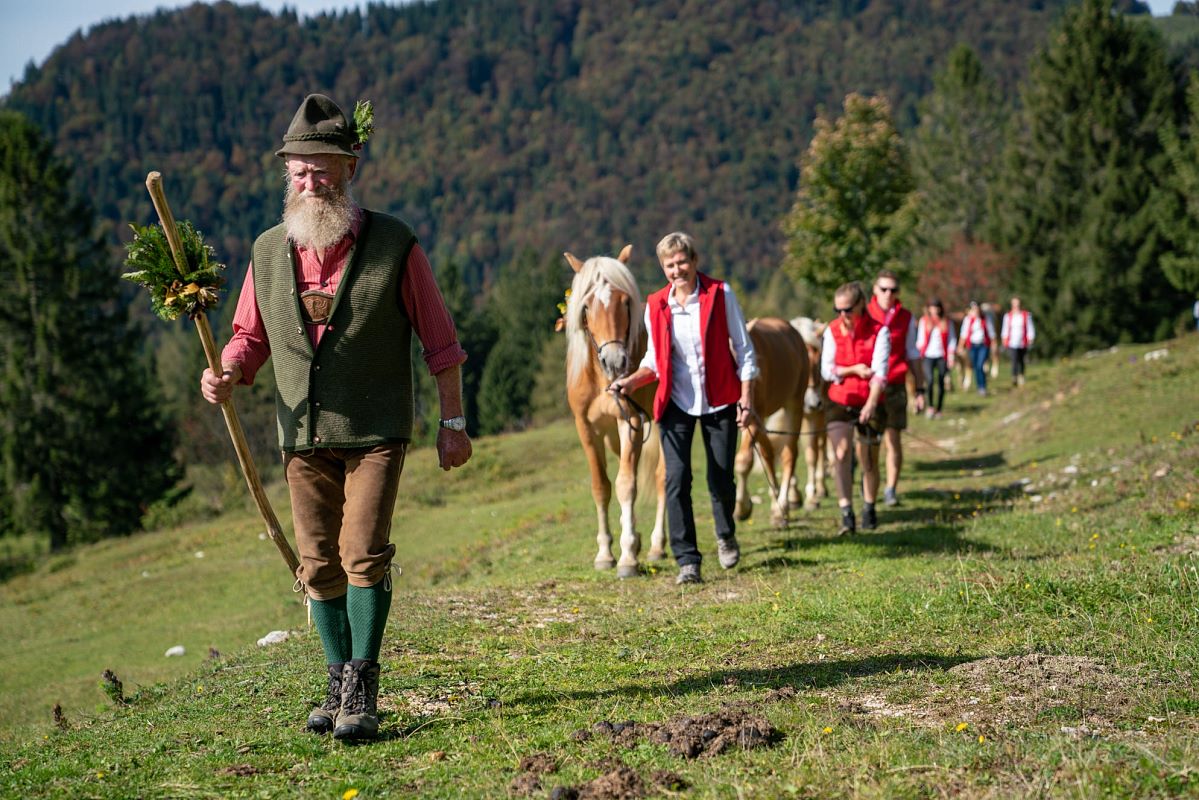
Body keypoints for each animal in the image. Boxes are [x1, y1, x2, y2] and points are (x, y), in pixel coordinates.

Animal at [561, 247, 666, 578]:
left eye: (625, 301)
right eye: (586, 305)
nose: (615, 360)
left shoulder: (629, 419)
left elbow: (625, 485)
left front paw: (628, 557)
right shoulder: (587, 429)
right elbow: (601, 487)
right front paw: (606, 552)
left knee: (662, 477)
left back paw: (657, 545)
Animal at [728, 316, 805, 527]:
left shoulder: (753, 417)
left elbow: (743, 461)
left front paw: (741, 508)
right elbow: (764, 453)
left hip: (794, 403)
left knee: (789, 454)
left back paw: (782, 508)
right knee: (768, 452)